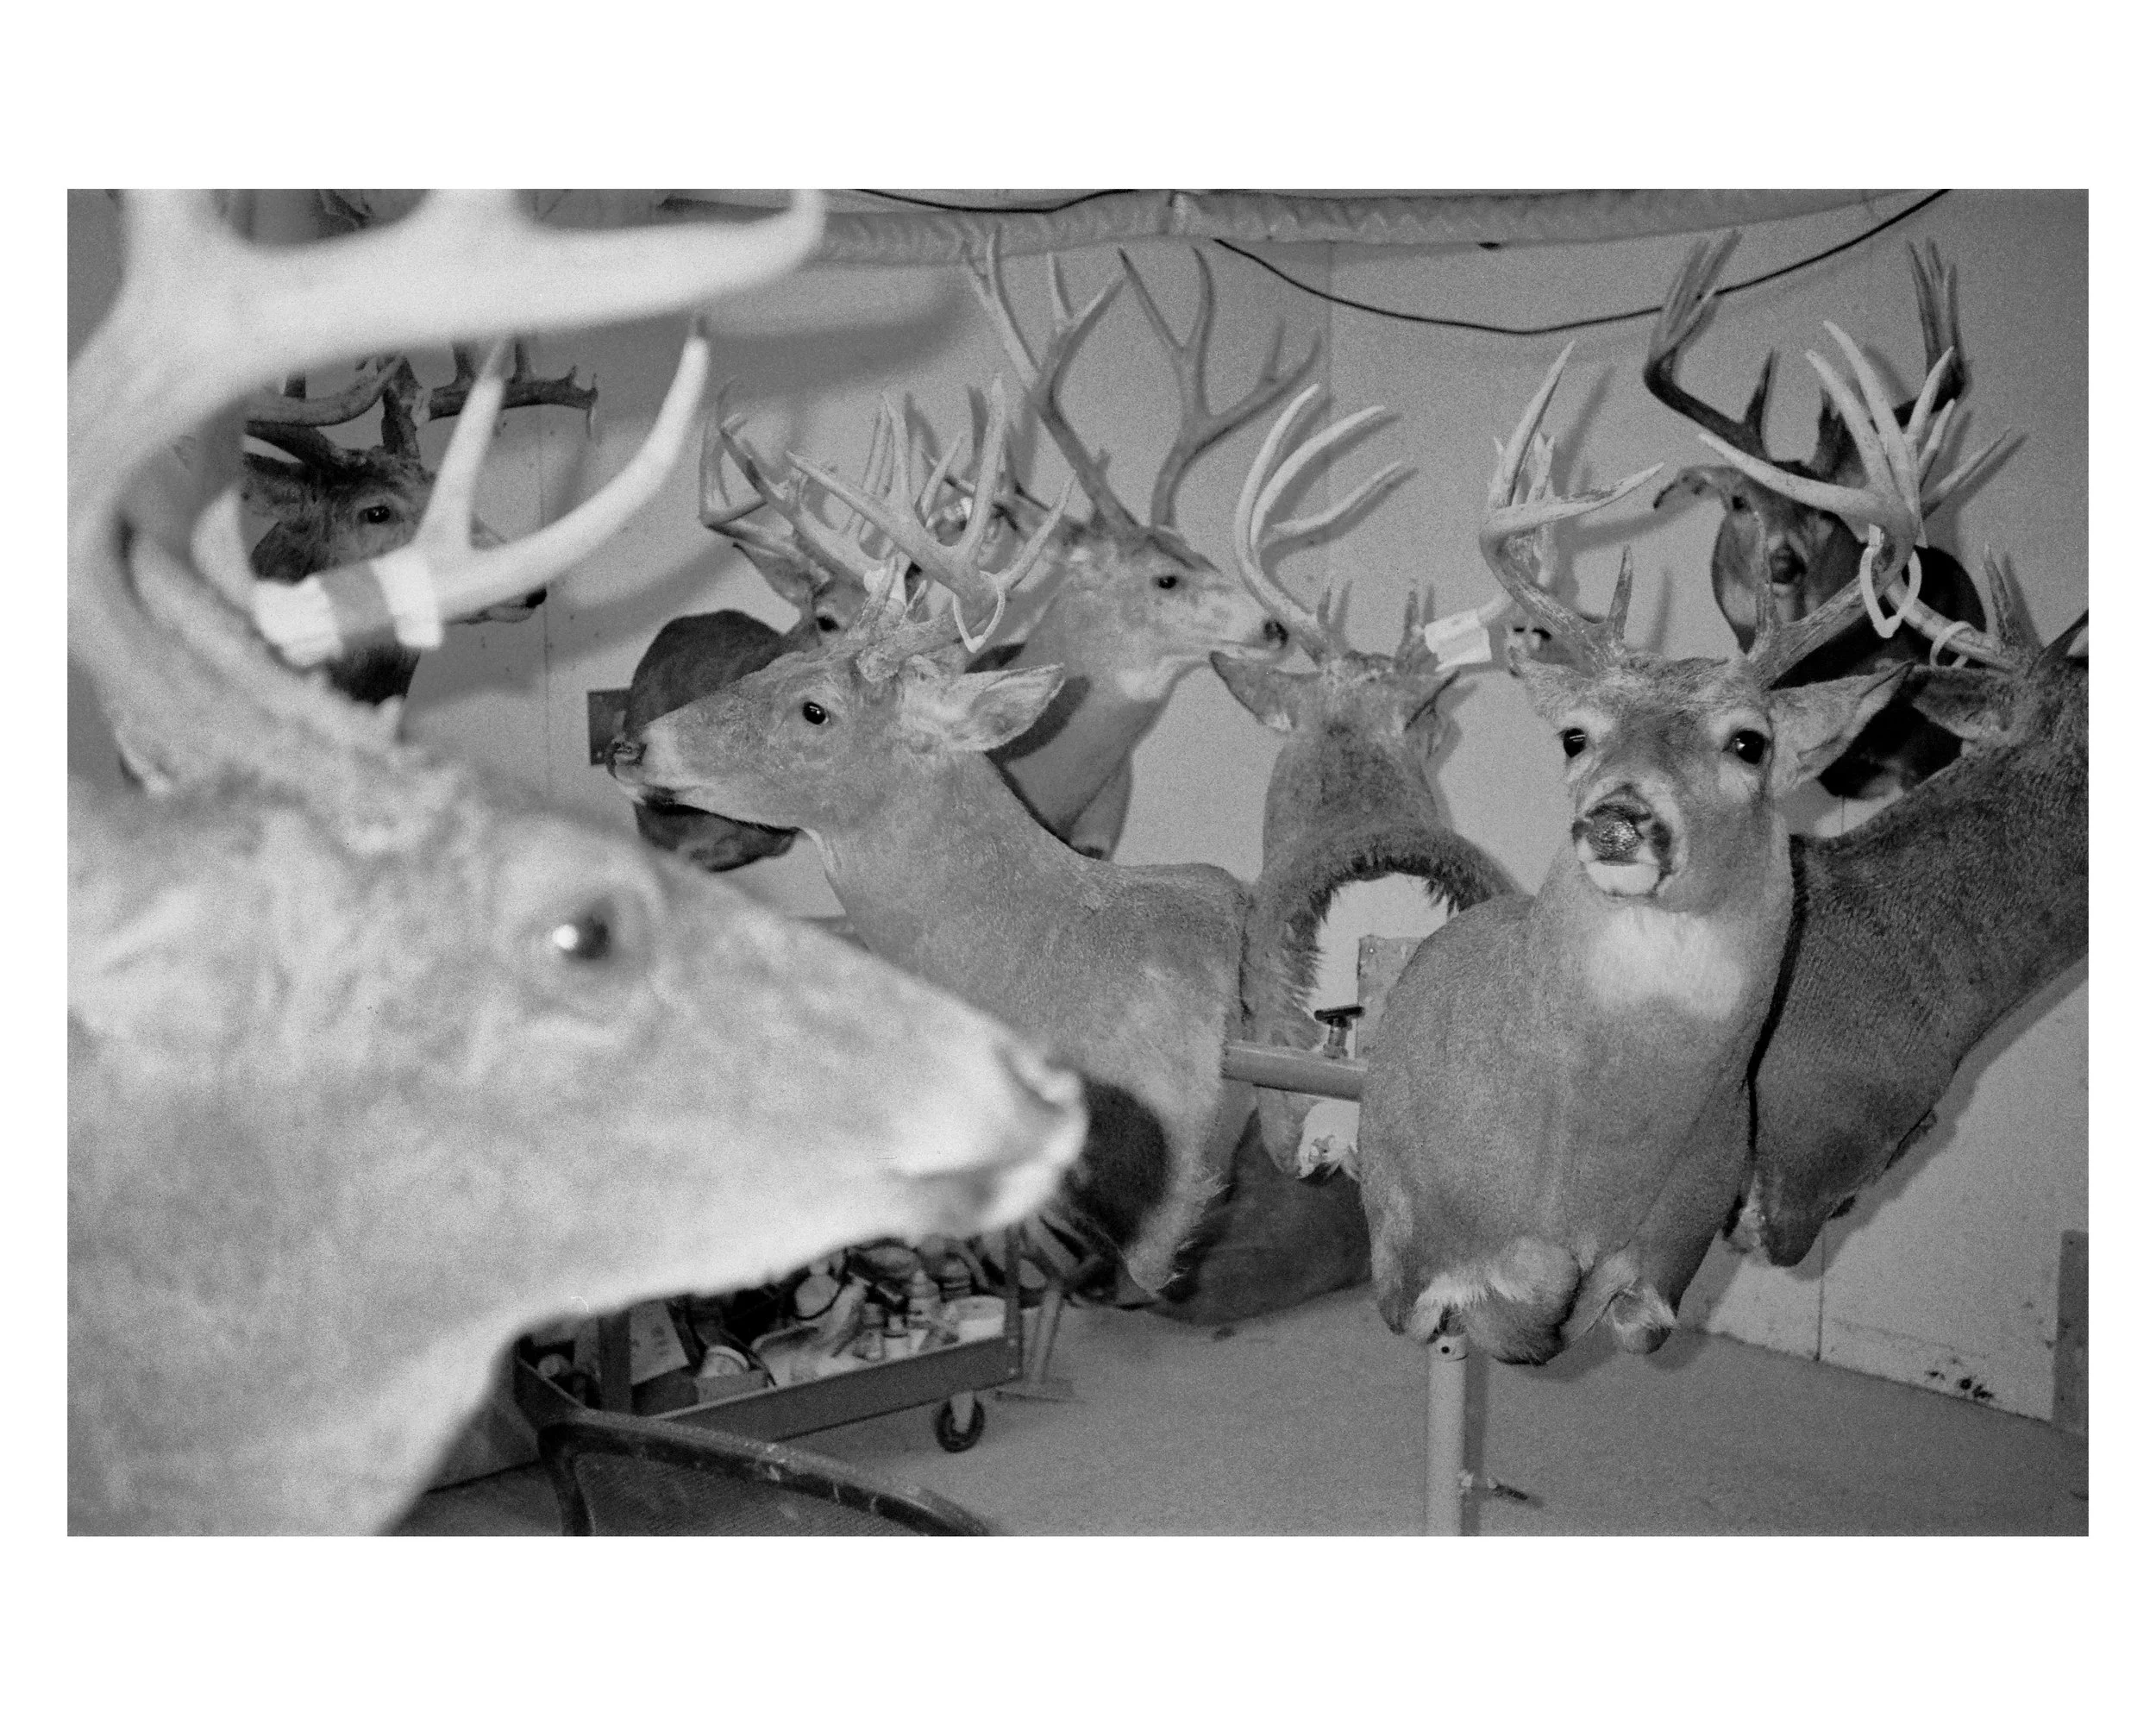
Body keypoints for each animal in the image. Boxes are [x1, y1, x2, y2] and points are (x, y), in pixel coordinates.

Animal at [1353, 345, 1914, 1366]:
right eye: (1574, 735)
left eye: (1749, 742)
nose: (1617, 819)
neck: (1594, 1163)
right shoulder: (1401, 1254)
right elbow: (1493, 1288)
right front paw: (1534, 1288)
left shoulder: (1671, 1264)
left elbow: (1628, 1307)